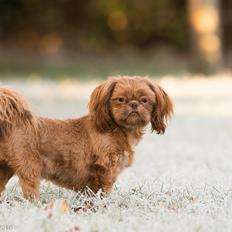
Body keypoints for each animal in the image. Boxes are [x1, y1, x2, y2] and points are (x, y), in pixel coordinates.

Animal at [0, 76, 172, 199]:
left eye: (145, 100)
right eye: (121, 99)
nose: (134, 104)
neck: (115, 129)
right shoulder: (105, 172)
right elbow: (103, 193)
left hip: (4, 170)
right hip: (30, 168)